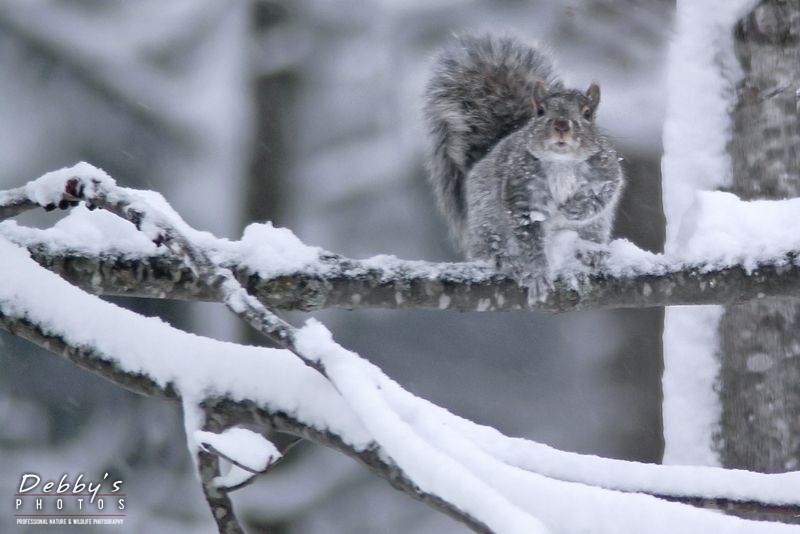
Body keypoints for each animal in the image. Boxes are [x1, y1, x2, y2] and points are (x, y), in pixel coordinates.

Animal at [424, 33, 624, 299]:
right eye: (540, 111)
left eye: (587, 114)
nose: (561, 125)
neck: (561, 163)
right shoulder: (521, 193)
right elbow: (530, 240)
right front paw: (537, 274)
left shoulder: (606, 171)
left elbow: (603, 195)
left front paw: (575, 208)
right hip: (486, 218)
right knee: (486, 247)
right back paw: (504, 259)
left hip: (596, 227)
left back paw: (590, 251)